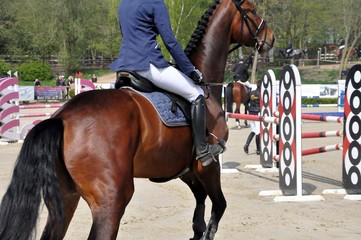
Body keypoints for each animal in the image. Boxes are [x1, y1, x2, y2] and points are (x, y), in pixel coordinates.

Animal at [0, 0, 272, 240]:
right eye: (252, 10)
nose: (270, 38)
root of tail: (63, 117)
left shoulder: (184, 169)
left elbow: (199, 205)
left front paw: (197, 230)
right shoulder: (208, 165)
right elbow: (218, 206)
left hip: (66, 199)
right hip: (112, 200)